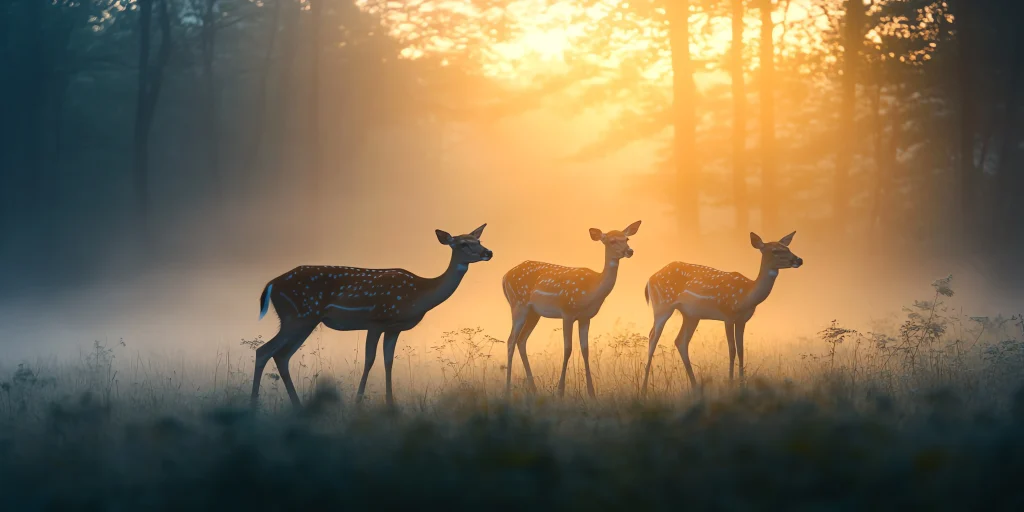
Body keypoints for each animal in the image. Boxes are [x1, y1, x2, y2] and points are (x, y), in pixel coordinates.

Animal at [252, 224, 492, 408]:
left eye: (478, 240)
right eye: (463, 243)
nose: (488, 252)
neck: (418, 295)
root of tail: (271, 285)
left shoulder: (394, 327)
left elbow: (388, 361)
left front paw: (391, 404)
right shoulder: (377, 320)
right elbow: (369, 360)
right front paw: (358, 402)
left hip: (302, 319)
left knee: (281, 356)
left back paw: (296, 406)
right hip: (298, 316)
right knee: (264, 351)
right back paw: (253, 405)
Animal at [502, 221, 641, 398]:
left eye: (627, 238)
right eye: (612, 241)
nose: (629, 251)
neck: (591, 291)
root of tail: (504, 277)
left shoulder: (585, 317)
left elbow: (585, 350)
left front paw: (592, 393)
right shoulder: (567, 312)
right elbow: (567, 349)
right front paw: (560, 391)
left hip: (534, 313)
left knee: (521, 340)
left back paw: (534, 389)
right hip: (518, 304)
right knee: (511, 340)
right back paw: (507, 389)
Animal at [641, 231, 803, 396]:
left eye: (787, 248)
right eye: (775, 250)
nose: (799, 260)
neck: (746, 297)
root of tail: (649, 280)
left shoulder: (742, 320)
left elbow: (741, 350)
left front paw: (742, 385)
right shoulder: (728, 316)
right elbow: (732, 350)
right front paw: (731, 384)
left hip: (691, 315)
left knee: (680, 341)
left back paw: (695, 387)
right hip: (662, 305)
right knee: (653, 337)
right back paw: (644, 389)